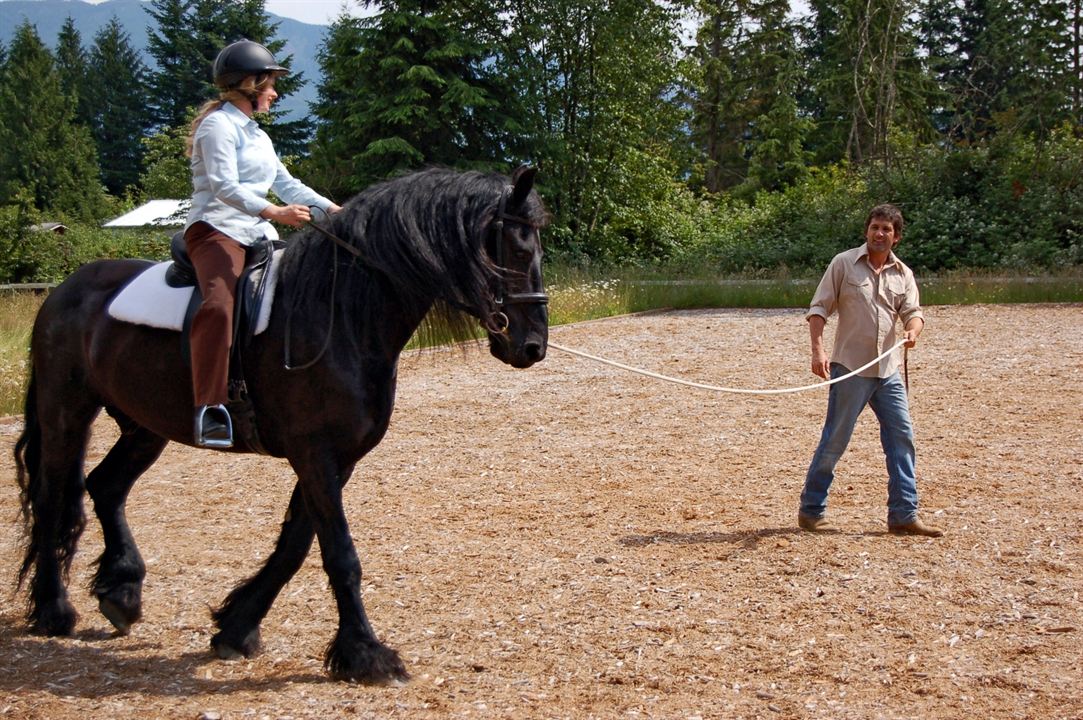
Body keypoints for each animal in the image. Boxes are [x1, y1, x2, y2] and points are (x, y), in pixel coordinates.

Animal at [12, 165, 545, 684]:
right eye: (518, 251)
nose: (533, 346)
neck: (341, 312)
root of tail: (67, 290)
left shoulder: (336, 459)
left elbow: (295, 545)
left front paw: (236, 627)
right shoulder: (315, 453)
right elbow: (339, 553)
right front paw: (367, 655)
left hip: (146, 426)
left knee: (106, 486)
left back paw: (120, 593)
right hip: (66, 413)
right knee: (52, 499)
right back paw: (53, 610)